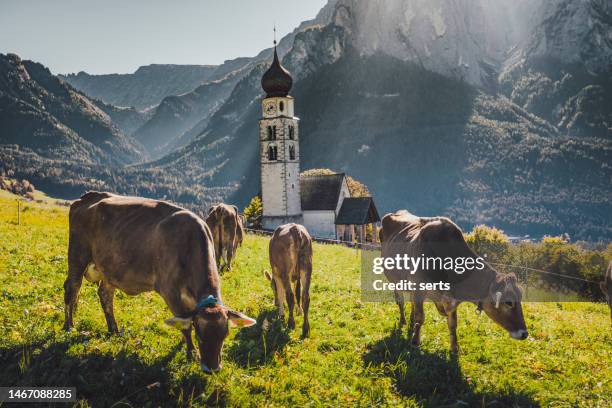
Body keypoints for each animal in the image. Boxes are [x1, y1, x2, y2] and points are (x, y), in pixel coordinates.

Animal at [62, 191, 253, 372]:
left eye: (225, 335)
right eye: (200, 335)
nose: (211, 369)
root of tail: (87, 197)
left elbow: (185, 320)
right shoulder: (170, 292)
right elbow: (185, 326)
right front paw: (192, 353)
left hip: (110, 268)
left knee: (105, 295)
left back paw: (114, 330)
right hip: (77, 256)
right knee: (72, 288)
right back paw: (69, 326)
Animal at [380, 210, 528, 350]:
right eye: (508, 302)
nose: (524, 334)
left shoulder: (451, 300)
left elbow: (453, 324)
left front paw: (454, 347)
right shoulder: (418, 288)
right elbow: (420, 317)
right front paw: (415, 342)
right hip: (394, 281)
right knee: (401, 301)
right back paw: (404, 320)